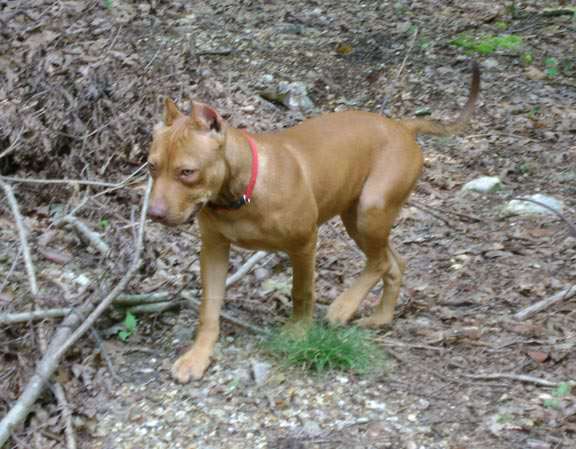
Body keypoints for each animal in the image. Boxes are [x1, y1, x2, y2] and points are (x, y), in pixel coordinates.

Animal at [146, 62, 480, 382]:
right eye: (151, 166)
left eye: (187, 172)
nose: (153, 214)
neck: (238, 195)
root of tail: (401, 127)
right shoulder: (214, 249)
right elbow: (209, 308)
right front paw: (197, 356)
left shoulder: (303, 243)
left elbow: (302, 292)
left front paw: (298, 331)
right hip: (356, 218)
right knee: (394, 262)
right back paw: (381, 317)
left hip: (371, 209)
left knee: (380, 262)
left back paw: (344, 305)